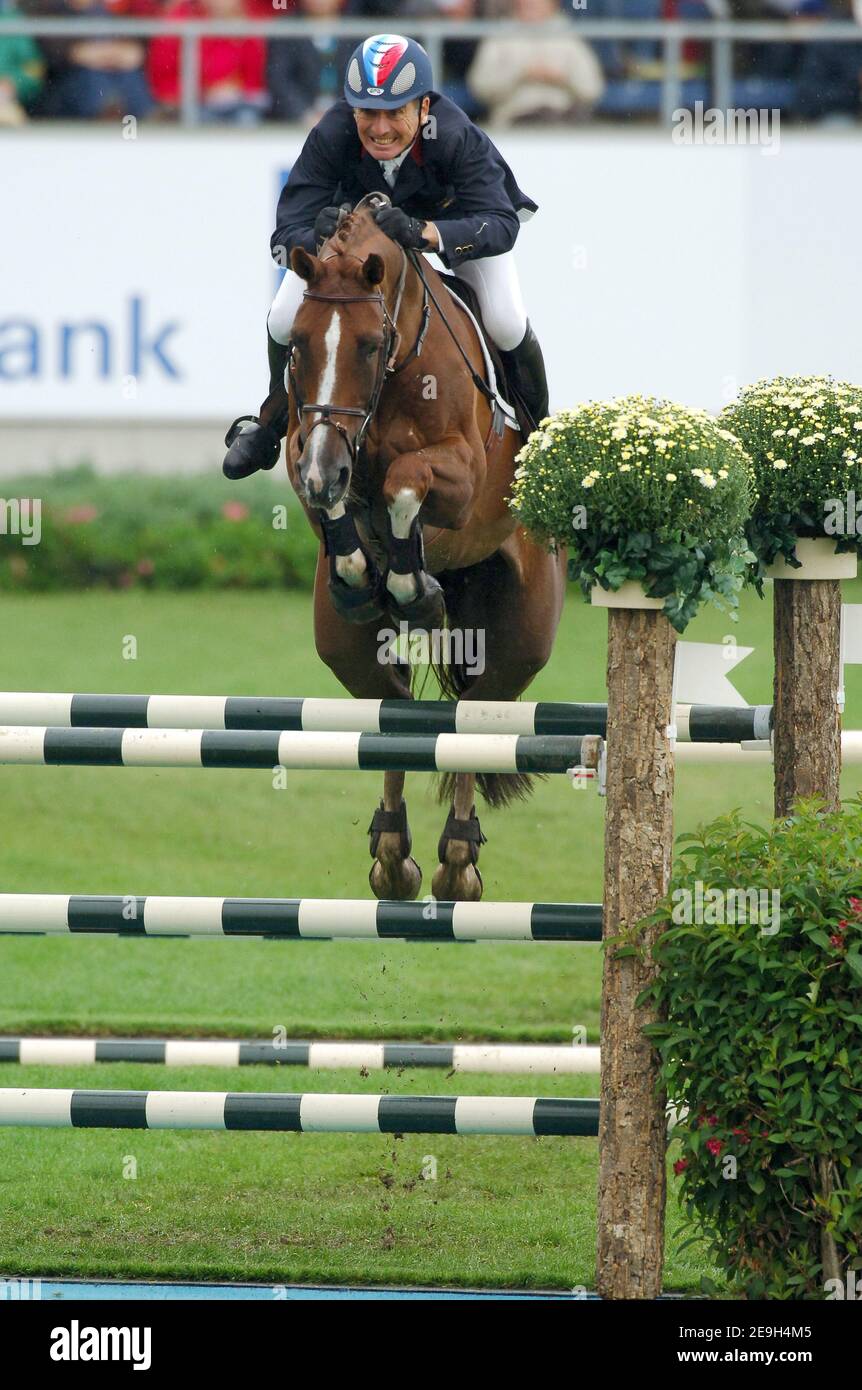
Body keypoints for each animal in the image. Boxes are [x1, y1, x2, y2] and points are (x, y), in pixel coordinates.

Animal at [284, 193, 565, 901]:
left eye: (370, 344)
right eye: (295, 345)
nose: (327, 470)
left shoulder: (461, 474)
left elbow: (404, 481)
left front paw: (412, 584)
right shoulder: (305, 444)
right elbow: (334, 494)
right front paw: (363, 572)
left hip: (519, 644)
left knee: (470, 717)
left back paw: (457, 863)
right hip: (348, 652)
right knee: (396, 712)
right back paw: (392, 855)